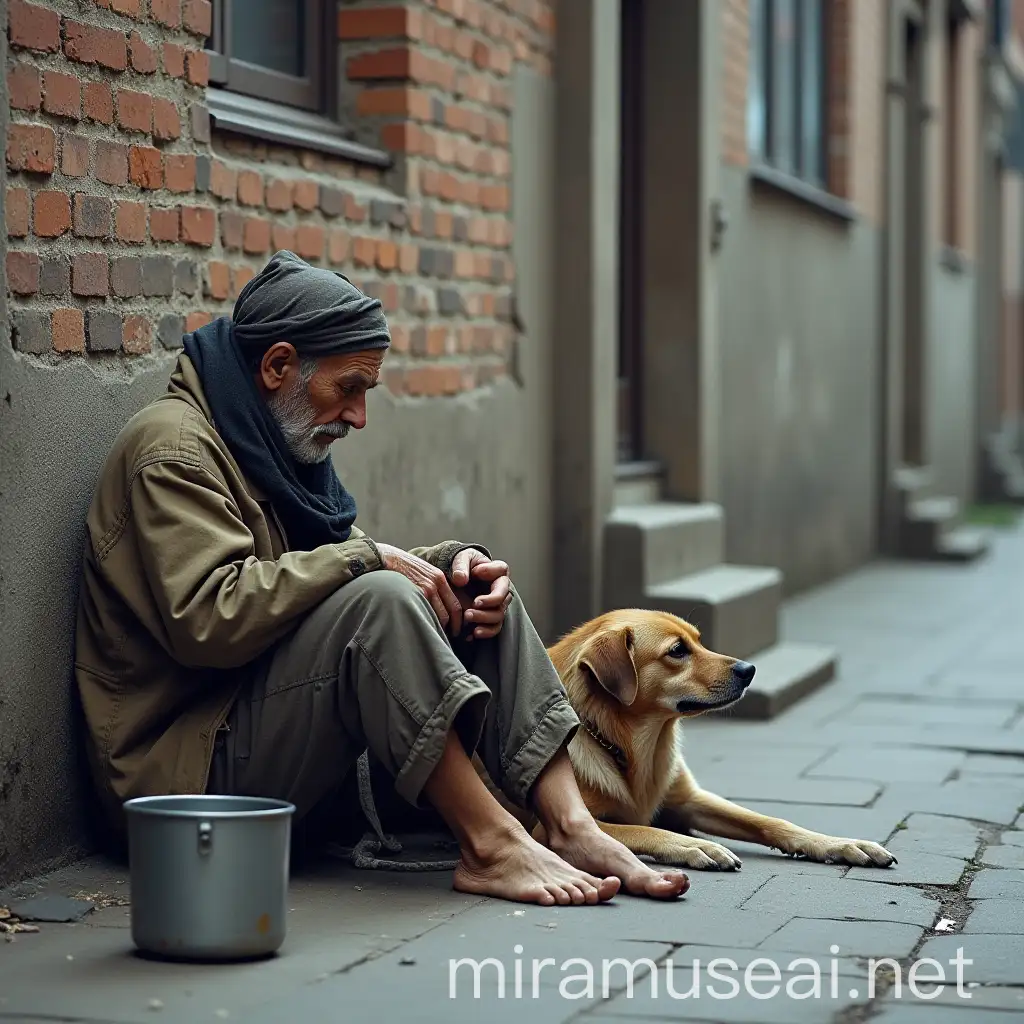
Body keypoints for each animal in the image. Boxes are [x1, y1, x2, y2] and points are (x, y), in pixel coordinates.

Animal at [540, 610, 892, 868]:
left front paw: (839, 844)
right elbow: (645, 828)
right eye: (677, 650)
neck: (638, 746)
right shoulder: (551, 827)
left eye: (698, 641)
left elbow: (770, 820)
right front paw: (695, 845)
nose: (749, 669)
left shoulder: (690, 800)